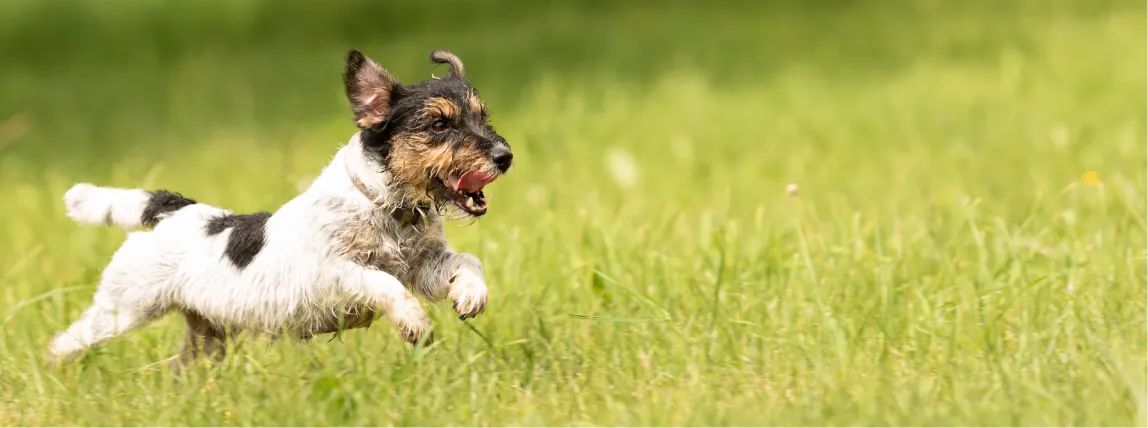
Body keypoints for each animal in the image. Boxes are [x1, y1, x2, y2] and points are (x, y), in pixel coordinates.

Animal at [45, 49, 512, 362]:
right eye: (439, 124)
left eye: (483, 117)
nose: (504, 156)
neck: (385, 207)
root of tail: (172, 210)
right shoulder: (334, 272)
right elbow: (380, 281)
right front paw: (414, 322)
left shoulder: (424, 266)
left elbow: (466, 261)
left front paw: (471, 294)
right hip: (123, 307)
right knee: (66, 341)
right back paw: (57, 371)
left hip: (207, 334)